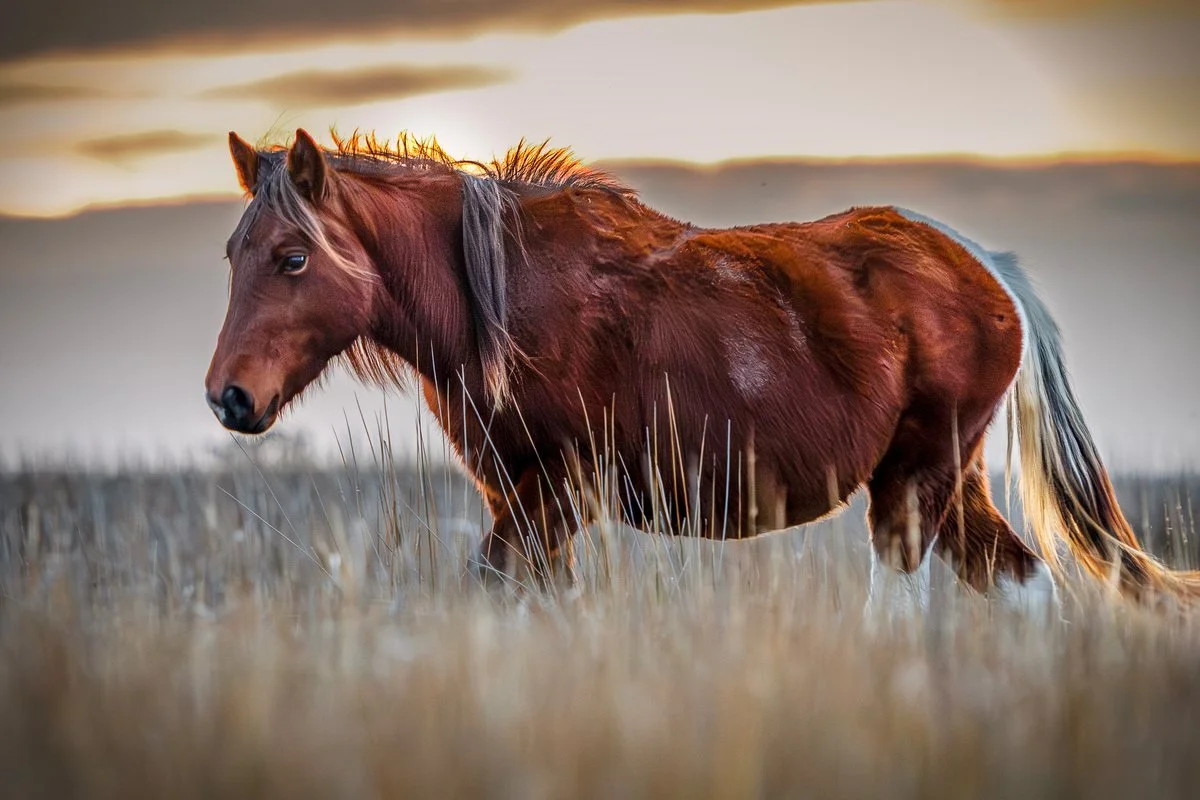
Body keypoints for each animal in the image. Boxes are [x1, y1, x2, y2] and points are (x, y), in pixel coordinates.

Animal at [204, 127, 1199, 612]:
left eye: (293, 257)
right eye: (232, 253)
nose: (230, 399)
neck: (504, 293)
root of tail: (986, 268)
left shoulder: (556, 492)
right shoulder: (520, 496)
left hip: (915, 485)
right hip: (945, 485)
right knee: (1028, 592)